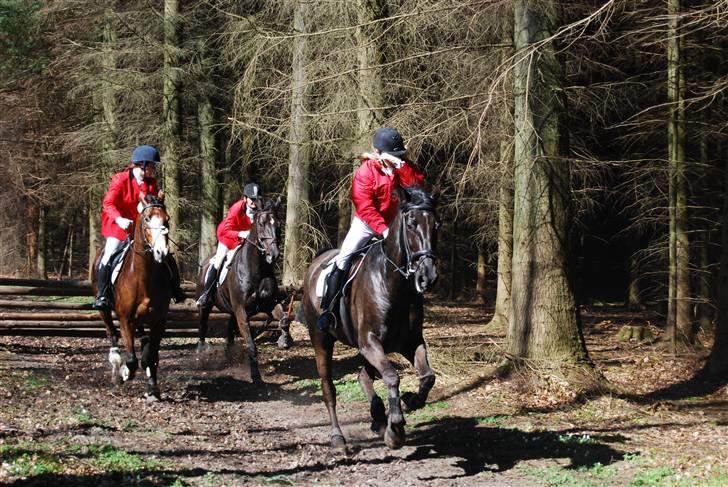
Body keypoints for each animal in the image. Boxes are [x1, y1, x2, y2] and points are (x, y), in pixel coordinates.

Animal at [93, 193, 173, 402]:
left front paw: (152, 389)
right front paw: (125, 372)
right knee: (111, 333)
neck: (143, 275)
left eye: (167, 219)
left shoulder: (158, 321)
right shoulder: (125, 319)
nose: (161, 253)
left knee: (144, 342)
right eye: (147, 219)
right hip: (105, 311)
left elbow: (151, 357)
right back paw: (116, 370)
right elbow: (132, 360)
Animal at [198, 196, 292, 384]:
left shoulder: (268, 304)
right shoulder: (241, 310)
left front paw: (284, 341)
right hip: (207, 305)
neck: (256, 269)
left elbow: (284, 319)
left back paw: (229, 356)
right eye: (261, 224)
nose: (273, 255)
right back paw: (202, 354)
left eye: (278, 224)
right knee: (203, 326)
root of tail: (204, 263)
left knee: (229, 330)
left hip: (232, 310)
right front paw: (256, 378)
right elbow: (250, 345)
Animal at [302, 185, 438, 452]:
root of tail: (317, 262)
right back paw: (339, 437)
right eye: (411, 224)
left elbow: (428, 376)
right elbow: (392, 376)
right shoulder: (370, 342)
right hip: (321, 339)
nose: (427, 277)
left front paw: (409, 401)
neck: (394, 285)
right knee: (328, 387)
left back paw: (378, 417)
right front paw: (396, 426)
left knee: (364, 376)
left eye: (436, 225)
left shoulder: (409, 343)